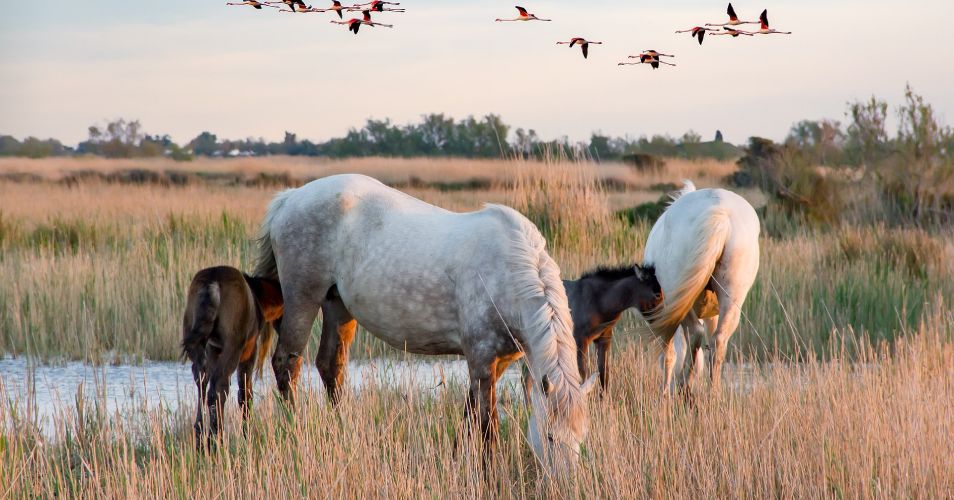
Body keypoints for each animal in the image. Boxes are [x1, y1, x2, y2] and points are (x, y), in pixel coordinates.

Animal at [179, 266, 280, 446]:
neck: (259, 298)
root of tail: (211, 284)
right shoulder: (249, 350)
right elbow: (245, 393)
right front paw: (247, 435)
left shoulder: (214, 349)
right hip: (234, 344)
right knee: (219, 386)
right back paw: (215, 438)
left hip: (194, 338)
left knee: (203, 379)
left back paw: (200, 436)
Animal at [253, 175, 596, 472]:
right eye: (550, 437)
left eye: (581, 439)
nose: (563, 484)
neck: (508, 271)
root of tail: (290, 198)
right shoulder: (482, 358)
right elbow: (487, 423)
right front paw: (489, 472)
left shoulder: (496, 362)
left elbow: (470, 412)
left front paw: (457, 460)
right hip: (303, 298)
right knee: (287, 364)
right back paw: (295, 430)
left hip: (337, 306)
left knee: (330, 367)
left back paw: (343, 431)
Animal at [644, 182, 764, 396]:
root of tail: (721, 213)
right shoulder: (711, 314)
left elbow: (669, 355)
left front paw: (664, 392)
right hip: (732, 298)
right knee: (718, 341)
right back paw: (713, 393)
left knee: (694, 334)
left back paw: (684, 386)